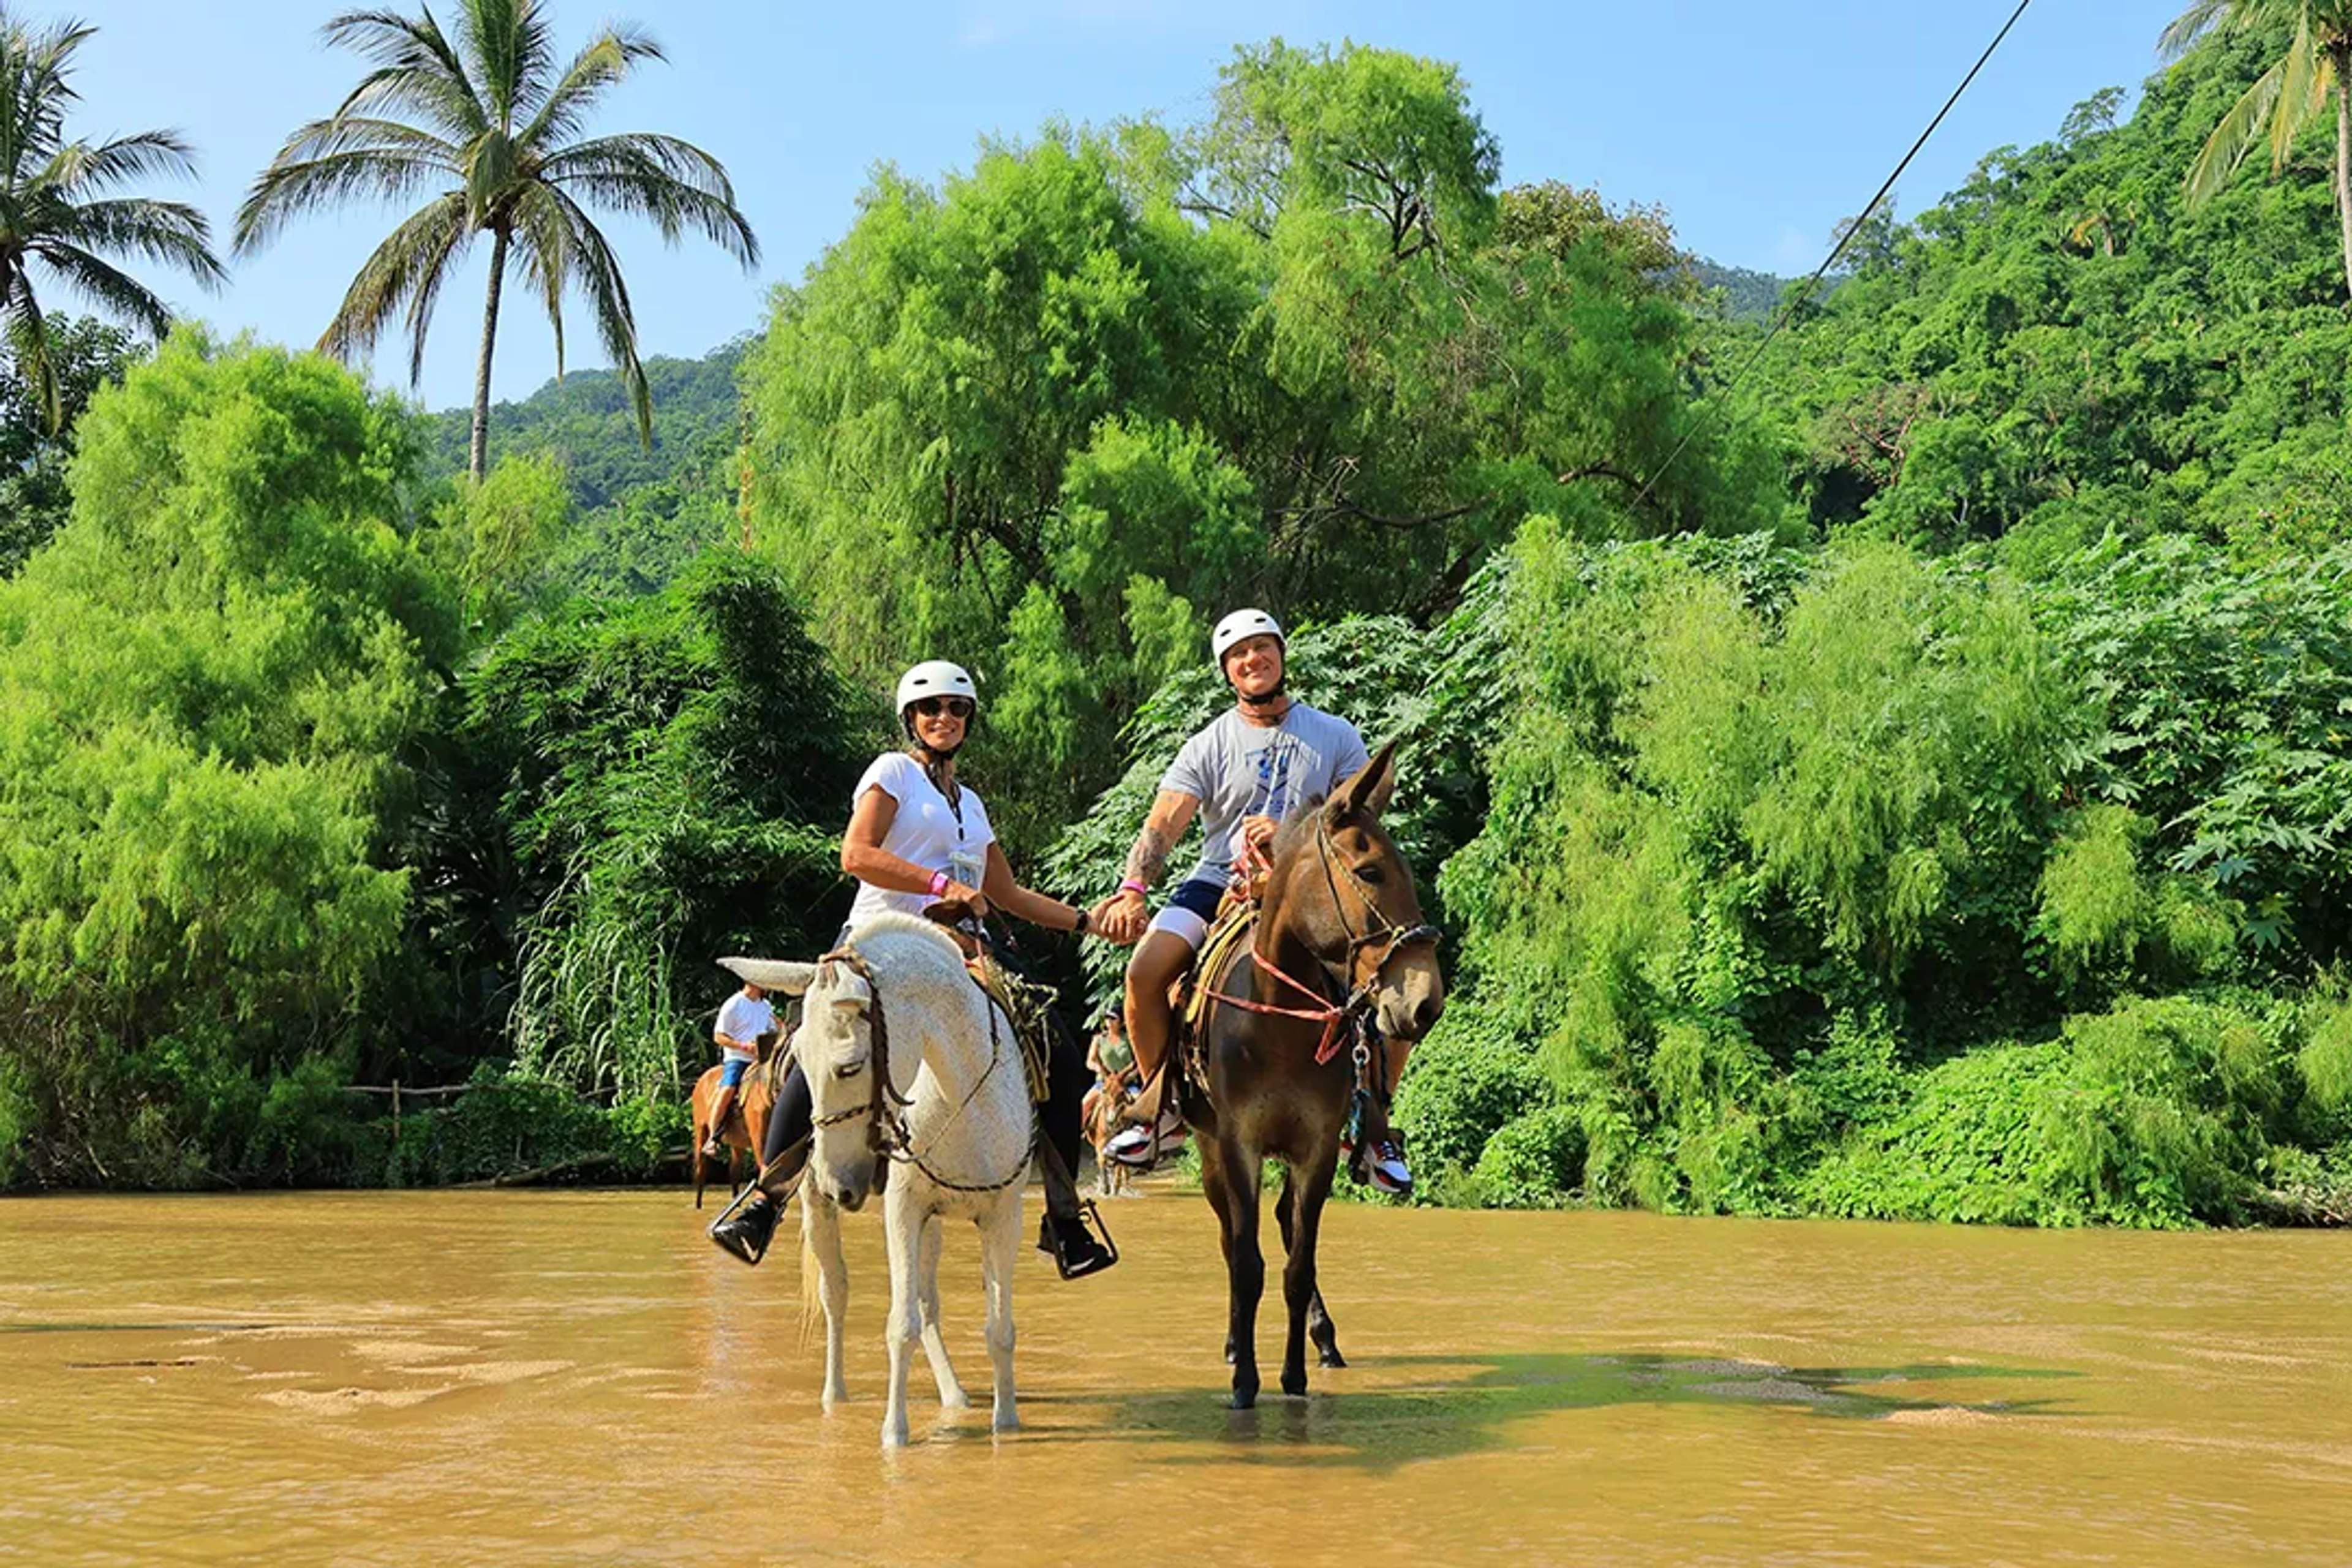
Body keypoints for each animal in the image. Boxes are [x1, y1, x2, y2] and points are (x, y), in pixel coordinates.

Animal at [722, 911, 1031, 1448]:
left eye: (850, 1067)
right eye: (801, 1063)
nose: (837, 1183)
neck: (961, 1096)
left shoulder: (1003, 1215)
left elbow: (999, 1329)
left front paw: (1006, 1425)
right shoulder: (903, 1208)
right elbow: (899, 1325)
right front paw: (894, 1433)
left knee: (928, 1303)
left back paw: (954, 1396)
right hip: (821, 1208)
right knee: (837, 1293)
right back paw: (835, 1396)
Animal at [1181, 742, 1444, 1409]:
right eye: (1371, 872)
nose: (1426, 1002)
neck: (1277, 1024)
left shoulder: (1318, 1147)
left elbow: (1298, 1267)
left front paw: (1294, 1376)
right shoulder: (1240, 1144)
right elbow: (1247, 1264)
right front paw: (1245, 1381)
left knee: (1283, 1227)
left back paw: (1323, 1339)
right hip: (1208, 1146)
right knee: (1231, 1238)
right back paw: (1234, 1343)